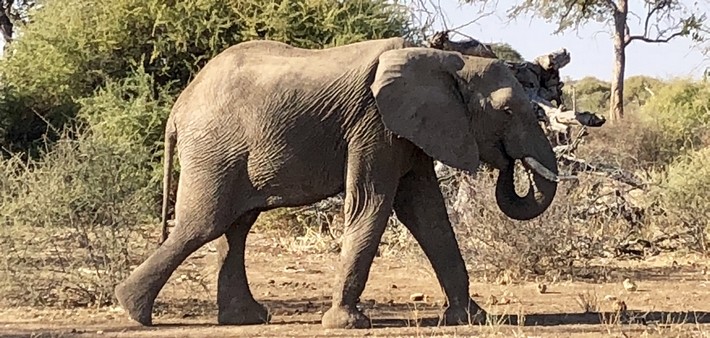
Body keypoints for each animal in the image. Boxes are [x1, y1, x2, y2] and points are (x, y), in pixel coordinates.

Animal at [115, 37, 560, 330]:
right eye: (506, 111)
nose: (509, 163)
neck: (443, 59)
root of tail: (178, 108)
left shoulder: (410, 130)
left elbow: (428, 215)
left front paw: (472, 318)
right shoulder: (374, 125)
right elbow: (372, 205)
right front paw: (347, 324)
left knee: (235, 226)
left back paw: (244, 319)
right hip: (214, 149)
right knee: (203, 223)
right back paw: (133, 312)